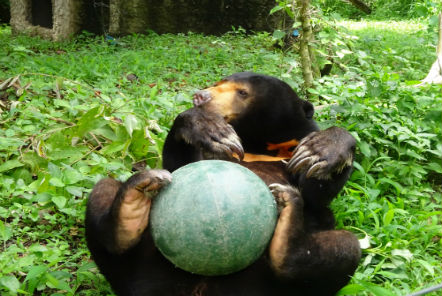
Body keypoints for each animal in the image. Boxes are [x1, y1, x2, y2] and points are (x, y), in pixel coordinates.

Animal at [84, 72, 360, 296]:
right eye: (217, 83)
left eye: (243, 92)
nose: (200, 96)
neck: (257, 144)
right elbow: (178, 165)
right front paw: (209, 128)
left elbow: (316, 195)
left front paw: (321, 150)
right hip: (142, 268)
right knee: (103, 192)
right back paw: (133, 203)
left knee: (345, 247)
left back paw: (288, 225)